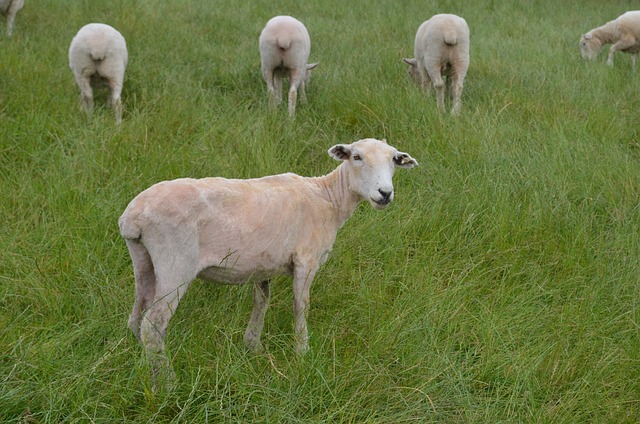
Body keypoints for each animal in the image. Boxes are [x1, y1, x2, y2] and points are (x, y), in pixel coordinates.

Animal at [119, 138, 420, 384]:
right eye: (356, 157)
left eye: (394, 159)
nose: (385, 193)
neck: (328, 198)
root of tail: (132, 216)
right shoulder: (307, 259)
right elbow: (301, 305)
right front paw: (302, 352)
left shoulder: (263, 264)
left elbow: (261, 300)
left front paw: (252, 346)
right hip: (176, 261)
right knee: (153, 325)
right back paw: (167, 381)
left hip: (143, 258)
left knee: (137, 315)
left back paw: (142, 366)